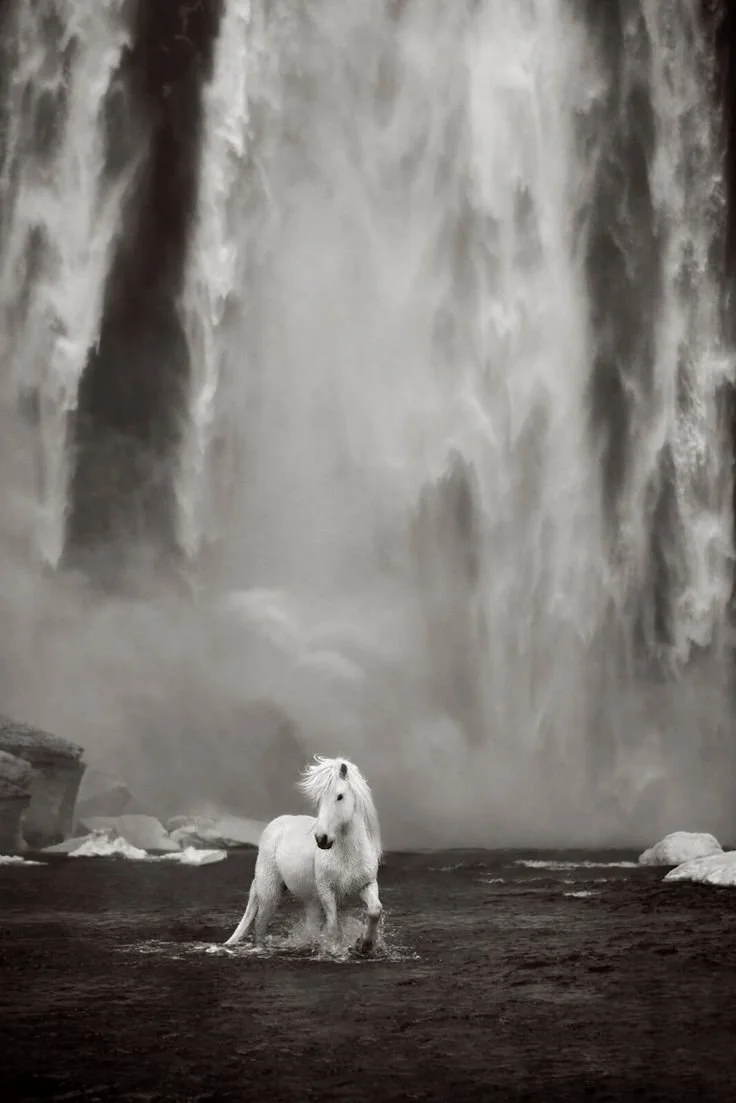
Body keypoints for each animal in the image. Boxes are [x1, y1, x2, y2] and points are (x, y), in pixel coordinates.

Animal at [223, 755, 383, 954]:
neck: (347, 854)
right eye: (319, 800)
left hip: (308, 900)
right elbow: (333, 927)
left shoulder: (367, 885)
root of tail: (276, 824)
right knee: (260, 925)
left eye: (340, 796)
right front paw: (336, 952)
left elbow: (375, 910)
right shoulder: (326, 891)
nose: (322, 839)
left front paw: (365, 944)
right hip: (269, 890)